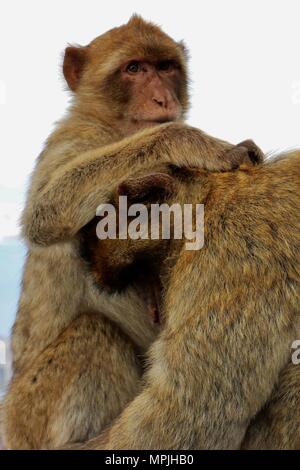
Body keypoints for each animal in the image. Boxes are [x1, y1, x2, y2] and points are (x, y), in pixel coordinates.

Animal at [1, 14, 262, 450]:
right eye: (134, 69)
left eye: (165, 67)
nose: (163, 100)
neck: (117, 129)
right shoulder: (70, 141)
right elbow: (45, 212)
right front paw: (188, 142)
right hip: (28, 414)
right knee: (95, 330)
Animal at [72, 151, 300, 452]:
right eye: (139, 279)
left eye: (144, 273)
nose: (155, 311)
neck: (207, 203)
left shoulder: (227, 256)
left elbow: (192, 415)